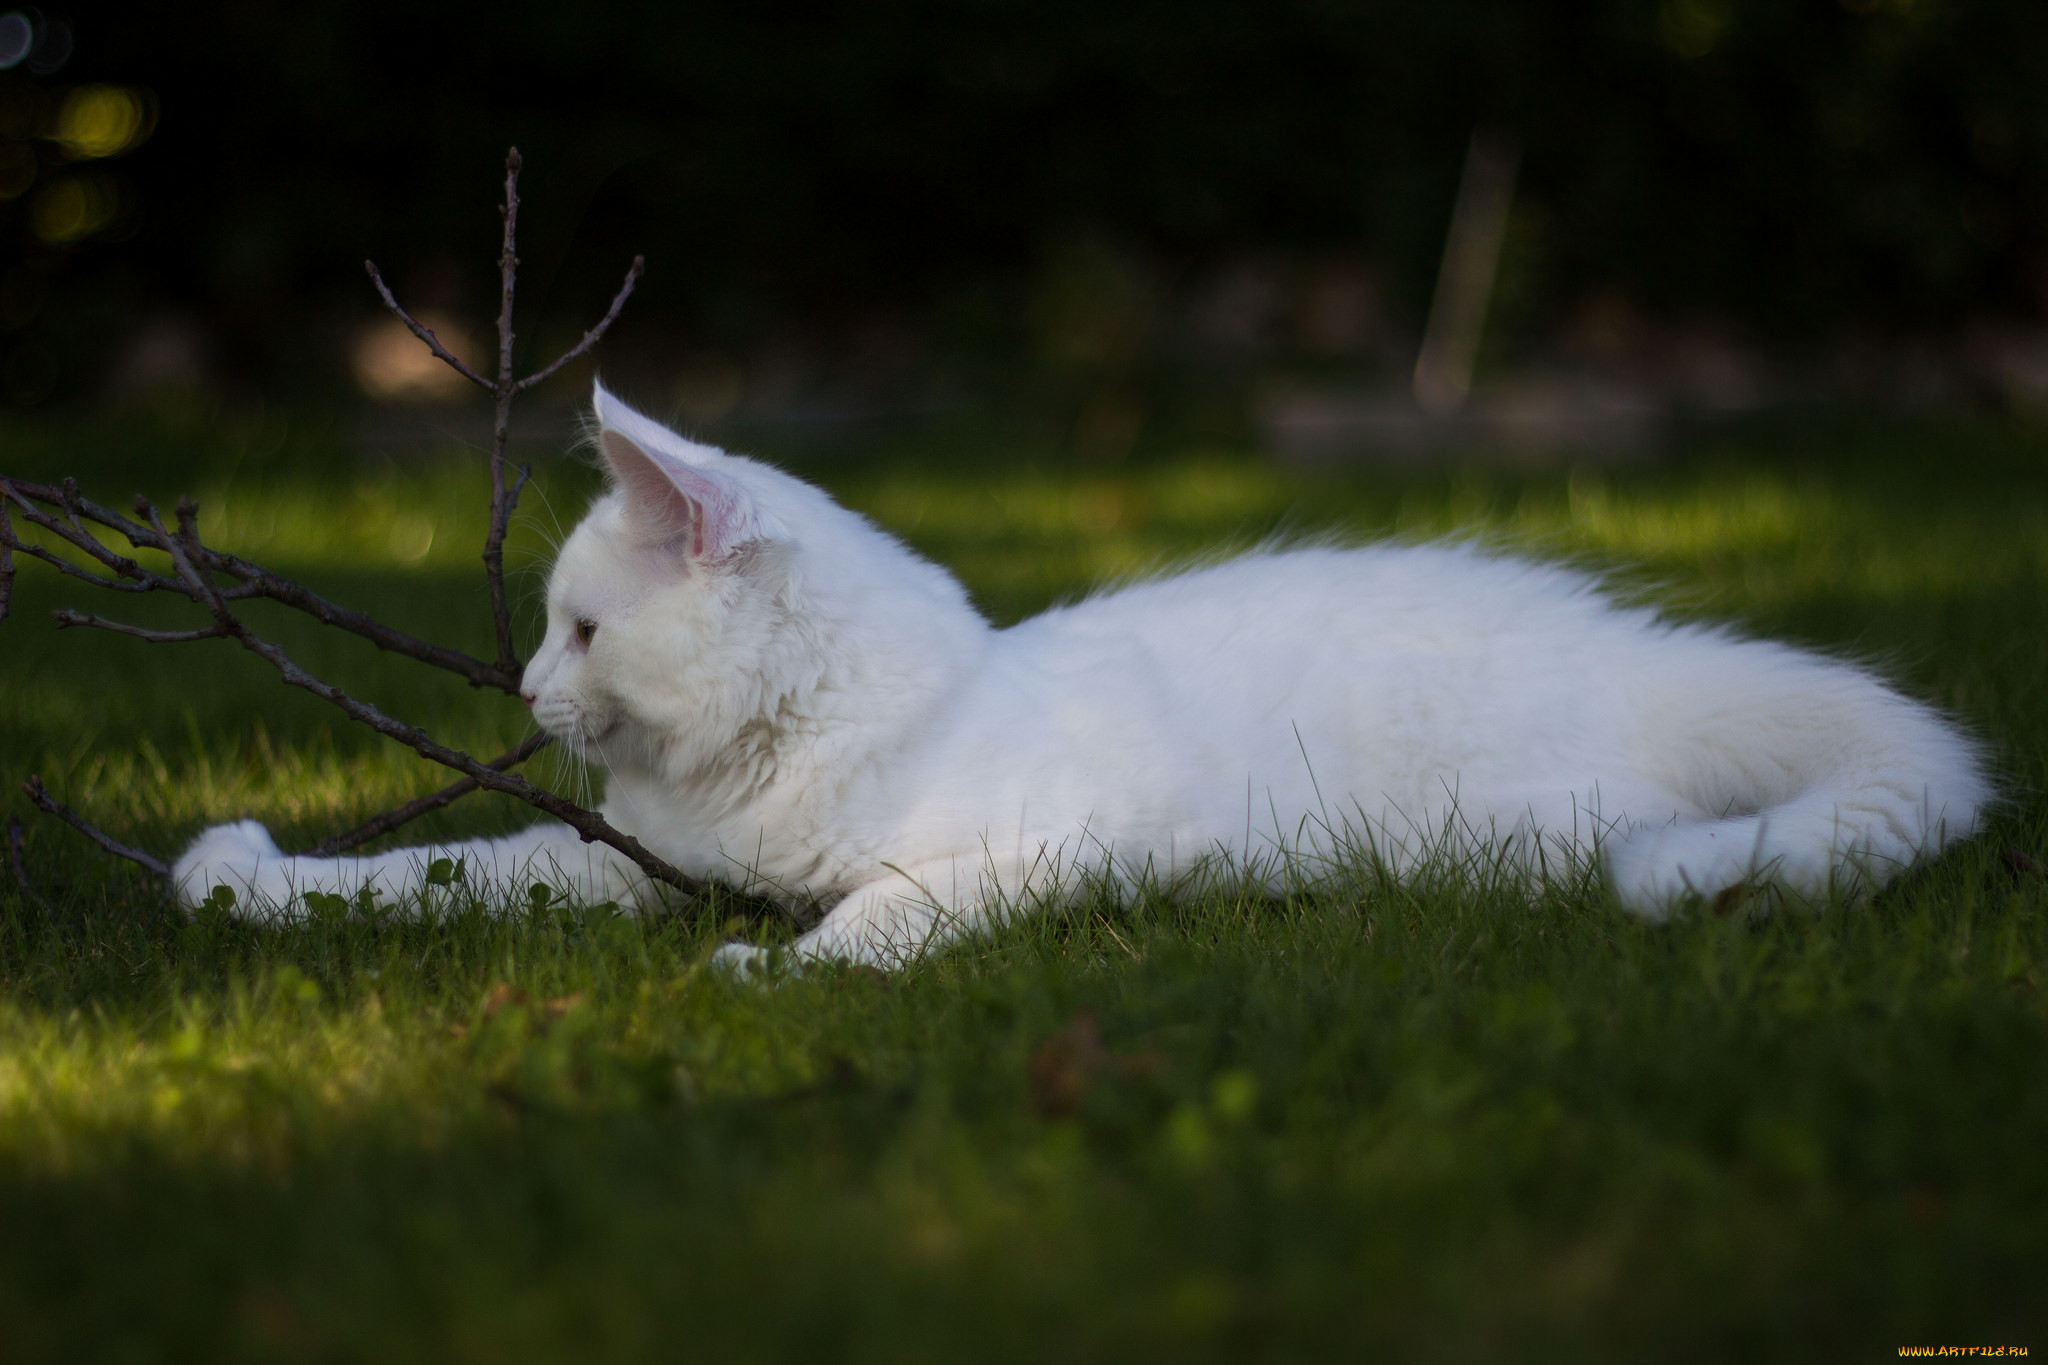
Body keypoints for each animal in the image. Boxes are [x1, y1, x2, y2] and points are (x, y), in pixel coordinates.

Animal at [167, 378, 1990, 965]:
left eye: (583, 631)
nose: (526, 696)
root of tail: (1646, 653)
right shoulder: (639, 869)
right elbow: (459, 871)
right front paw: (242, 879)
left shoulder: (1083, 836)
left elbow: (888, 906)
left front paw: (778, 978)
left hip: (1475, 821)